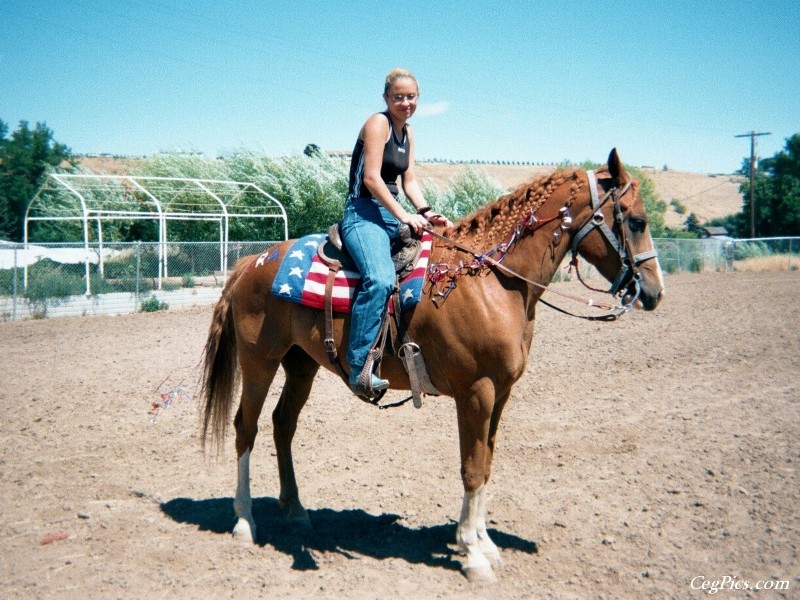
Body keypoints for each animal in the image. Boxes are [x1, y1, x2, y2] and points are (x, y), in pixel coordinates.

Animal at [198, 149, 664, 580]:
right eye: (636, 221)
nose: (654, 292)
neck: (491, 281)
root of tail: (252, 263)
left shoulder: (501, 393)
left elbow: (486, 464)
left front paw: (484, 543)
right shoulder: (476, 392)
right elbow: (472, 469)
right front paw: (473, 554)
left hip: (300, 365)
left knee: (283, 424)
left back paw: (296, 511)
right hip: (260, 361)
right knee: (246, 427)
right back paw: (244, 522)